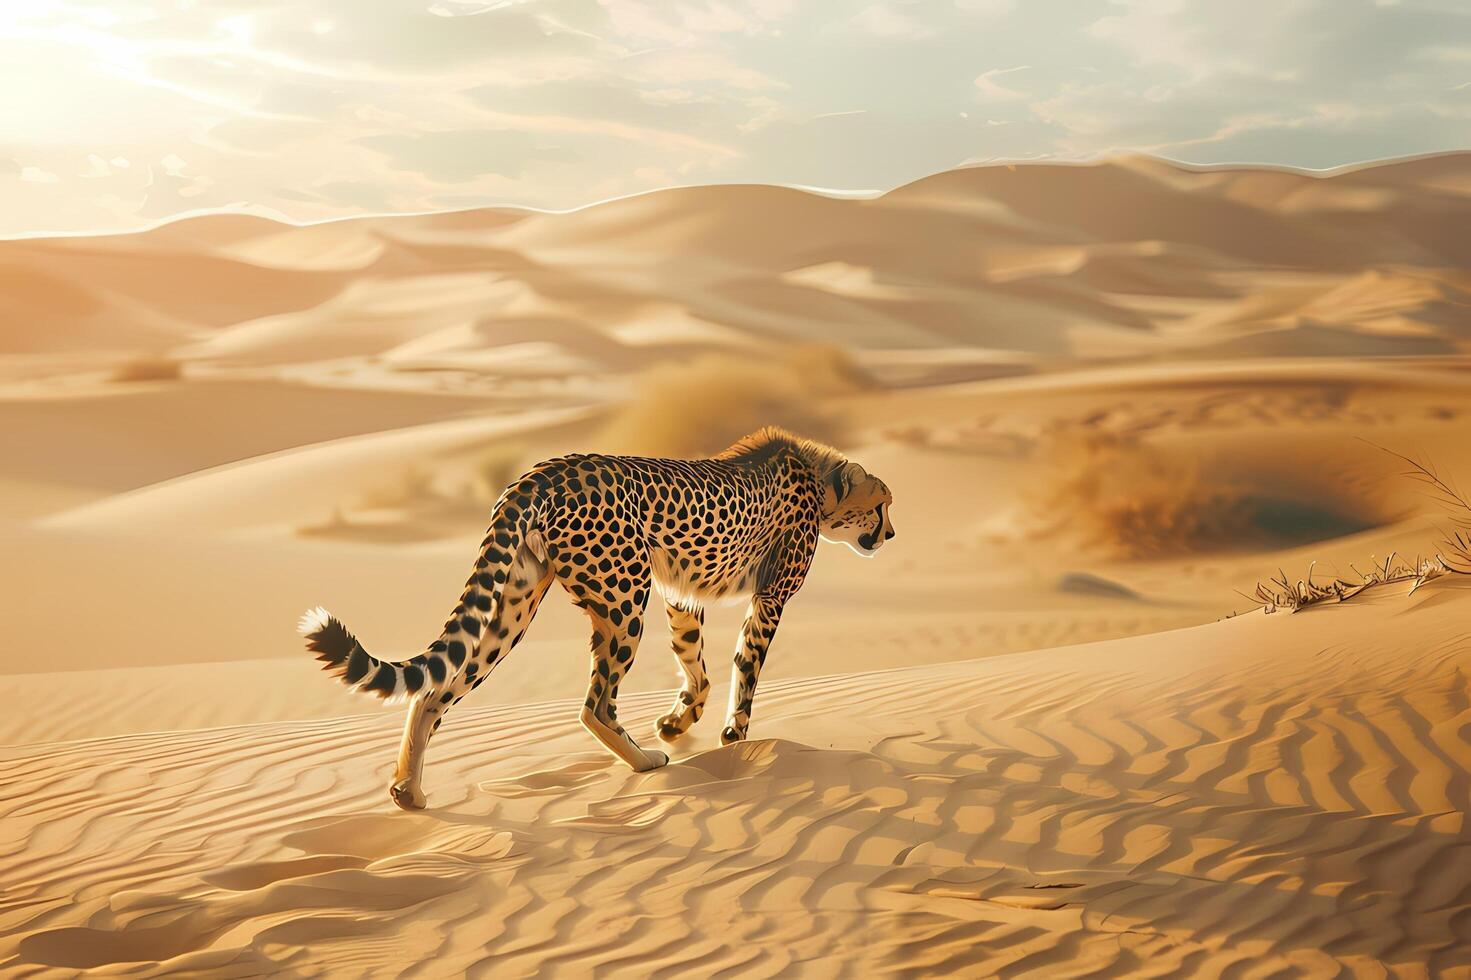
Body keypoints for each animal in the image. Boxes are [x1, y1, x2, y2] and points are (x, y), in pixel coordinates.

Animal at [301, 426, 894, 806]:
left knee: (432, 692)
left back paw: (409, 790)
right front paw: (735, 735)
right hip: (624, 596)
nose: (890, 533)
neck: (818, 479)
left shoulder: (679, 593)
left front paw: (680, 721)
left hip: (515, 605)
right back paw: (646, 762)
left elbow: (695, 664)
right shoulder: (768, 597)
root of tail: (543, 471)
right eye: (882, 504)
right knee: (595, 704)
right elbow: (746, 667)